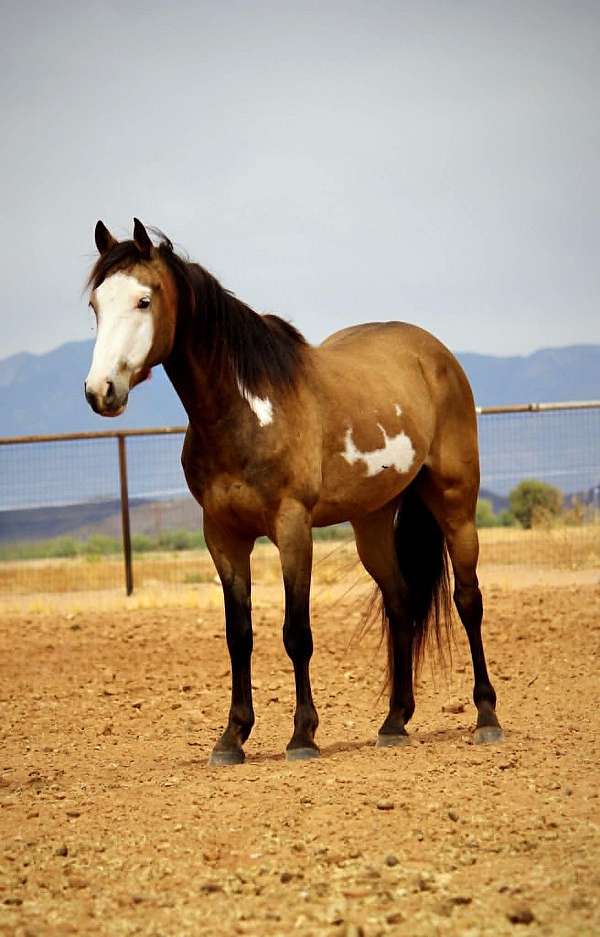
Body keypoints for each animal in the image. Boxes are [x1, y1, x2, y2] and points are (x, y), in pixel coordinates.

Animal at [84, 218, 503, 765]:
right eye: (95, 305)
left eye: (143, 300)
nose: (101, 390)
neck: (247, 411)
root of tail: (435, 355)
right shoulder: (222, 535)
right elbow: (238, 635)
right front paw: (232, 737)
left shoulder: (292, 527)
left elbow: (296, 633)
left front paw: (302, 735)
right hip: (371, 521)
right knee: (401, 602)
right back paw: (393, 722)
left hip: (456, 503)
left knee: (468, 600)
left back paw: (486, 717)